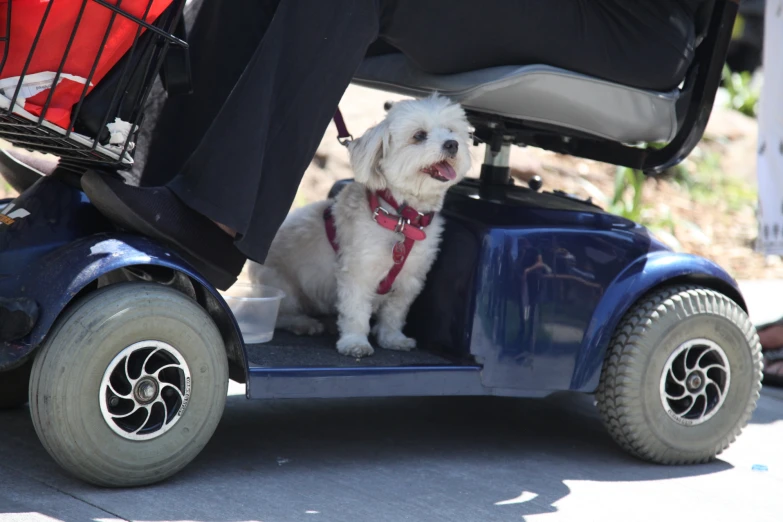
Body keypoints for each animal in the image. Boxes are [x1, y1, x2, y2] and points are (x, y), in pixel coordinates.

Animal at [250, 93, 472, 356]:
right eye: (419, 135)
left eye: (451, 130)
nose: (452, 144)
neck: (402, 218)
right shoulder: (358, 272)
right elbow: (356, 311)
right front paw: (355, 343)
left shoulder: (410, 278)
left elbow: (394, 314)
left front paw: (392, 338)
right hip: (282, 286)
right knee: (280, 314)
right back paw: (304, 323)